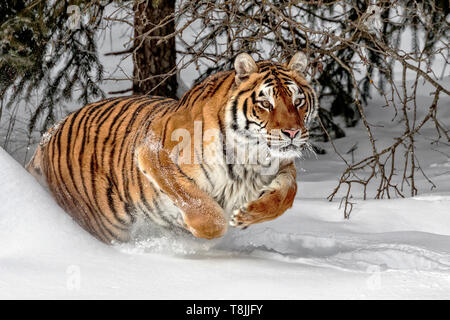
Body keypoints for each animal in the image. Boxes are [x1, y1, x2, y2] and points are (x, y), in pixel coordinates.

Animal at [26, 51, 318, 244]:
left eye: (298, 101)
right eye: (266, 103)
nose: (293, 133)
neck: (253, 156)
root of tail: (49, 133)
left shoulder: (283, 166)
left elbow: (287, 193)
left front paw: (247, 214)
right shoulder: (154, 153)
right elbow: (198, 203)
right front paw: (199, 229)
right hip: (103, 221)